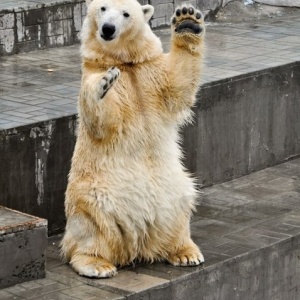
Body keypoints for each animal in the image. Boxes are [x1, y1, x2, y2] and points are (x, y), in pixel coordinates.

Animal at [61, 0, 206, 278]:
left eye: (126, 14)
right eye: (103, 8)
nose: (108, 28)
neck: (126, 62)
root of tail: (136, 246)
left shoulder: (149, 73)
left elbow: (178, 84)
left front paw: (187, 20)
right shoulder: (97, 75)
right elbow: (103, 121)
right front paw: (104, 83)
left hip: (173, 189)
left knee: (181, 205)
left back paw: (185, 252)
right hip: (94, 194)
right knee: (90, 227)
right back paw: (97, 264)